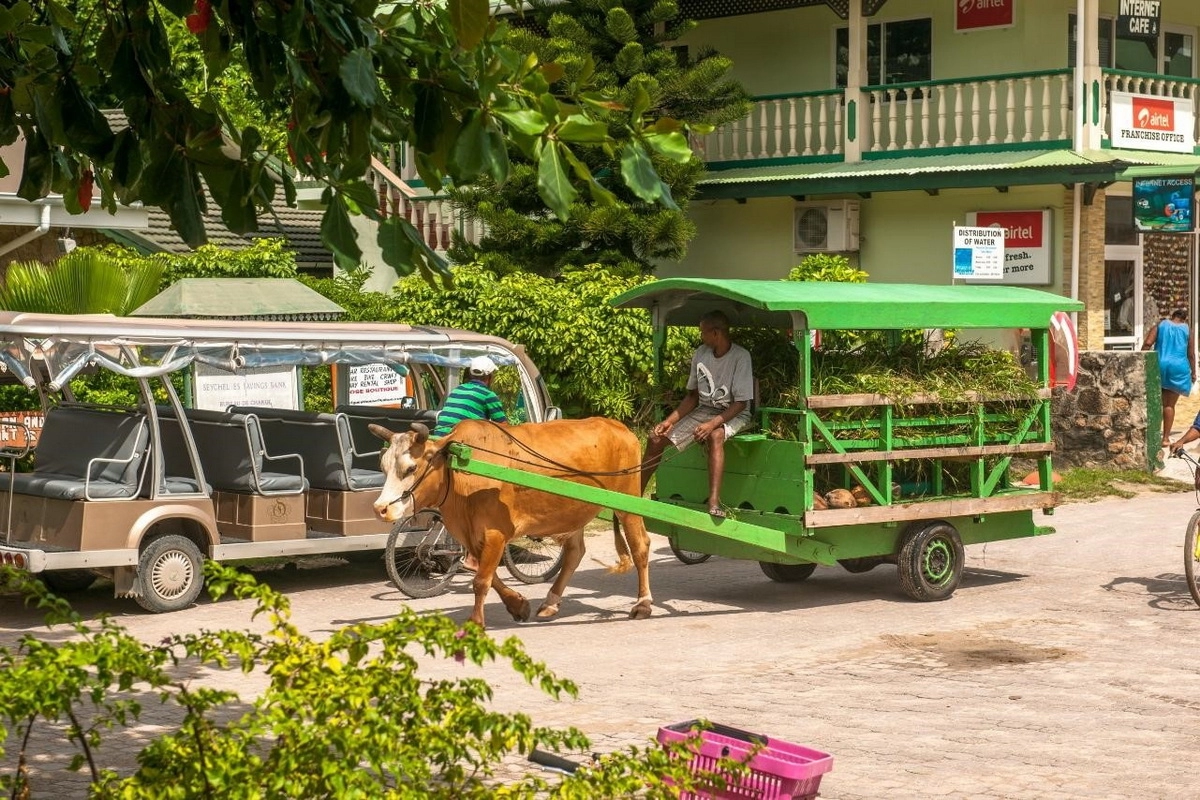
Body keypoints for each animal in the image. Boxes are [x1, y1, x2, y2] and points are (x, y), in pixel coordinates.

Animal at [374, 417, 657, 628]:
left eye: (411, 468)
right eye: (383, 467)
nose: (380, 509)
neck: (461, 469)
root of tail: (619, 427)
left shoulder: (495, 533)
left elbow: (481, 580)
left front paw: (476, 623)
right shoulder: (473, 536)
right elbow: (487, 575)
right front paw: (518, 605)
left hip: (628, 503)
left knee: (640, 546)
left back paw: (643, 604)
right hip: (574, 512)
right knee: (575, 553)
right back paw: (550, 603)